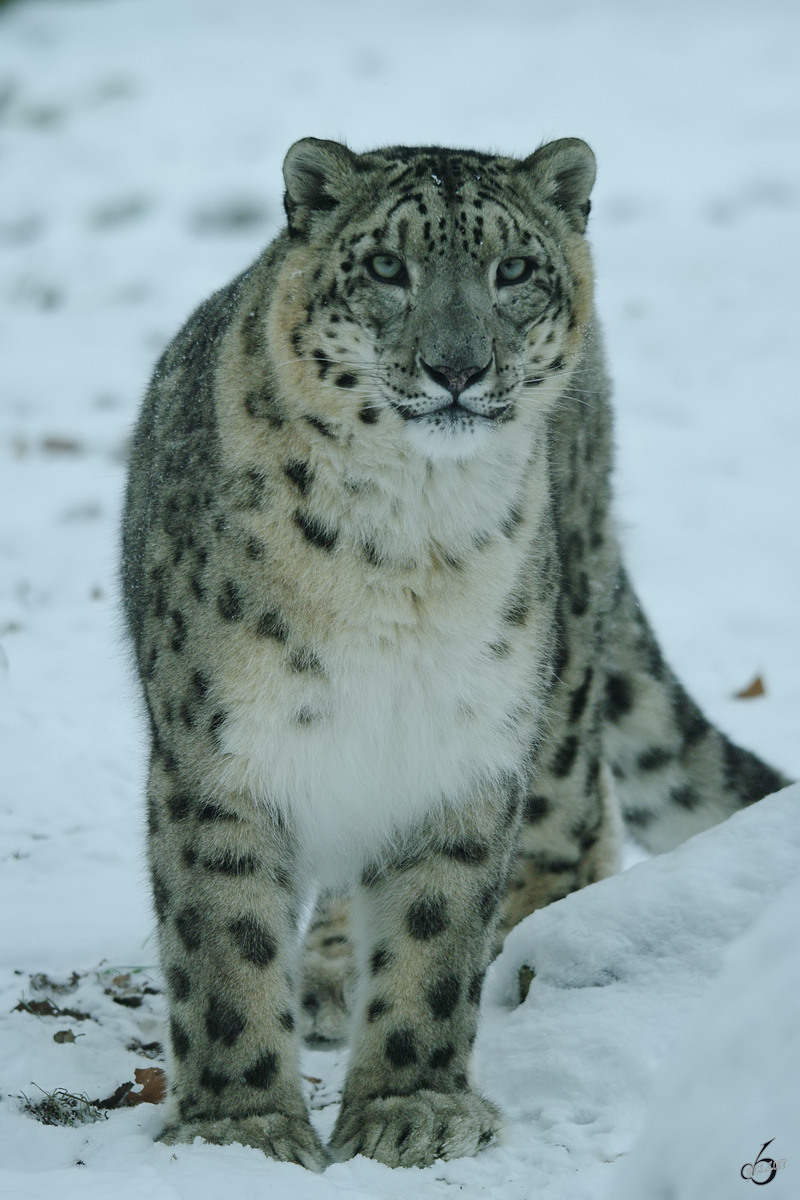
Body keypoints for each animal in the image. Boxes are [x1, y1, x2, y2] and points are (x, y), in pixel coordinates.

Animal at [118, 136, 786, 1166]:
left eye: (512, 270)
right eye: (389, 267)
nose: (458, 368)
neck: (408, 542)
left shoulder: (467, 740)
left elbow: (434, 932)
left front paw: (413, 1107)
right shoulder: (222, 748)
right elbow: (224, 941)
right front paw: (242, 1128)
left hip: (557, 675)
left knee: (572, 818)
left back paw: (534, 954)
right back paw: (329, 972)